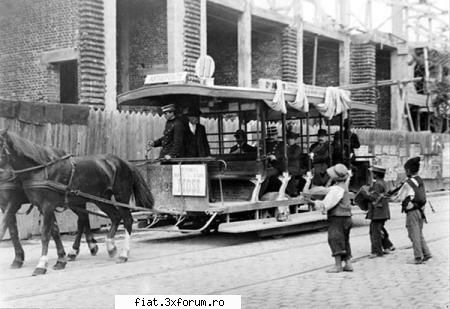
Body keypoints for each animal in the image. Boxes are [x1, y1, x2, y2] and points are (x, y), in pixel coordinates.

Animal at [0, 129, 155, 274]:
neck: (41, 168)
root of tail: (125, 162)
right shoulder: (38, 206)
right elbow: (48, 230)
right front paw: (59, 260)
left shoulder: (44, 205)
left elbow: (44, 233)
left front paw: (41, 265)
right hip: (98, 199)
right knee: (110, 217)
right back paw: (107, 246)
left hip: (120, 196)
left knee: (126, 219)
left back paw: (123, 254)